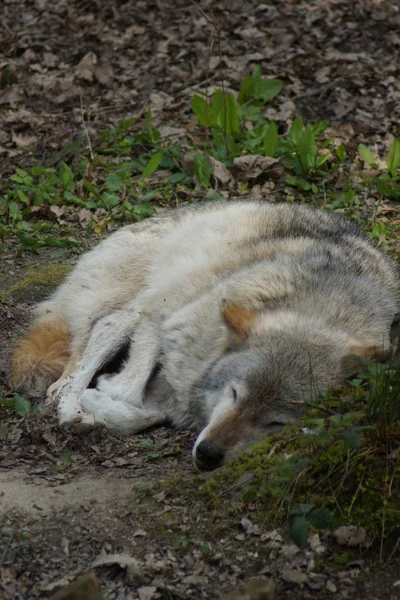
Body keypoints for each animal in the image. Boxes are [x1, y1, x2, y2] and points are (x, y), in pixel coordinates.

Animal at [7, 204, 398, 472]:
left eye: (276, 423)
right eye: (235, 394)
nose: (209, 454)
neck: (321, 304)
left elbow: (149, 413)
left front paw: (105, 402)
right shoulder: (170, 318)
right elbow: (132, 386)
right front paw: (99, 397)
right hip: (156, 291)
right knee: (104, 330)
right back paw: (71, 406)